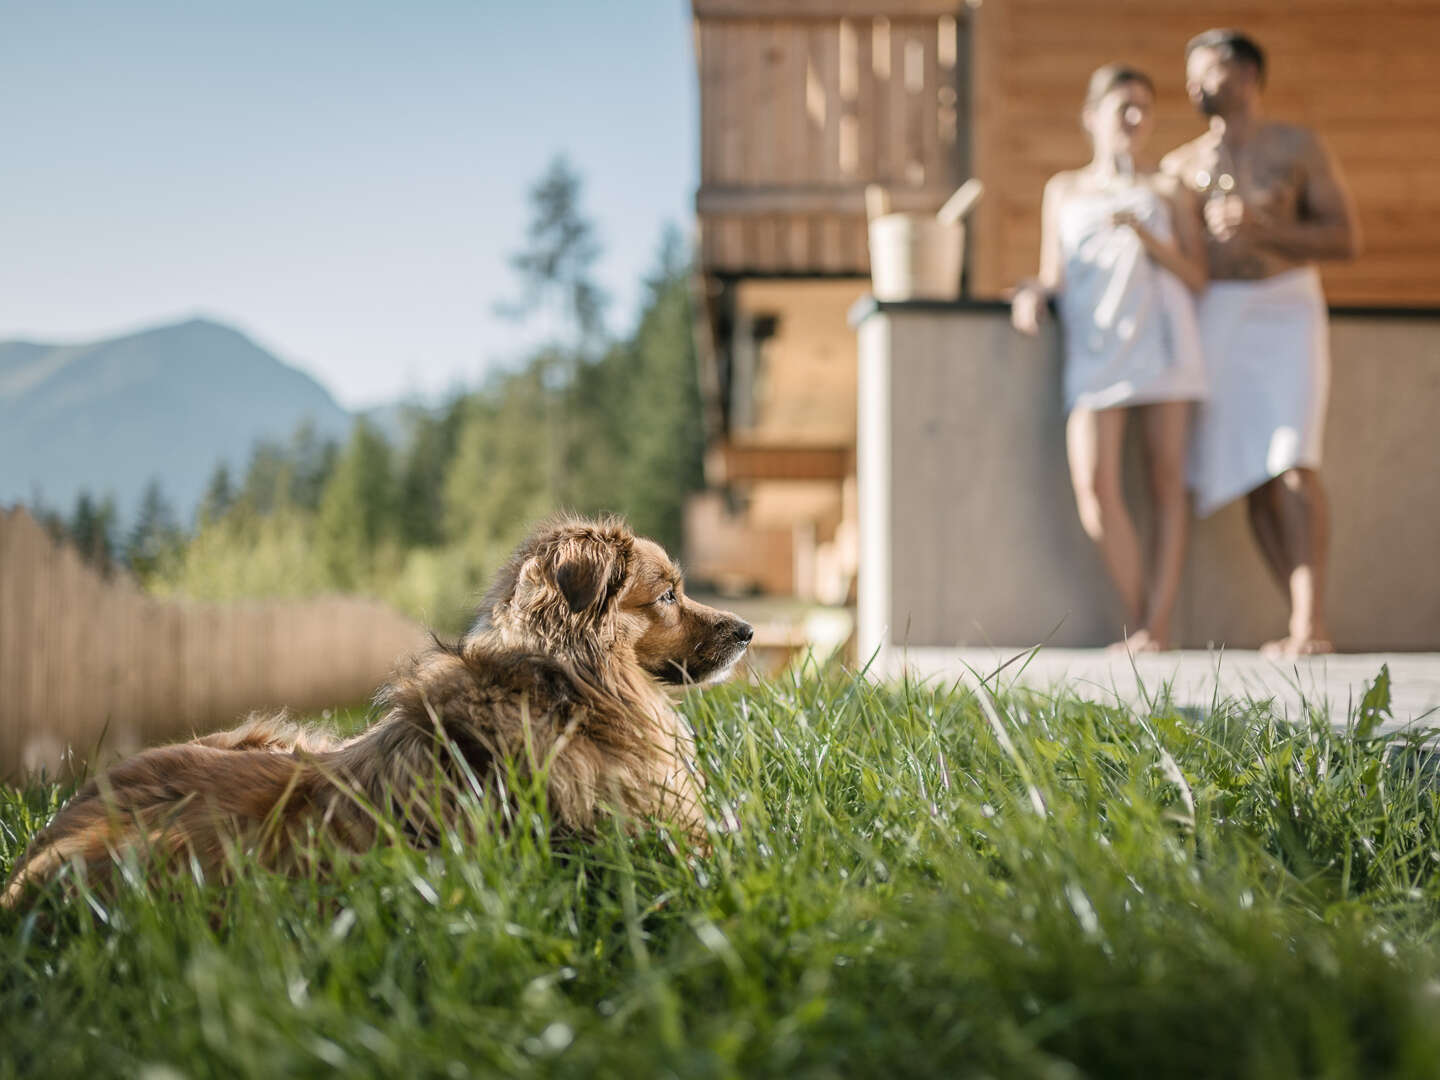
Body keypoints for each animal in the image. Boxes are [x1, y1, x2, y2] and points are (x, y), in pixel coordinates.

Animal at [5, 521, 754, 910]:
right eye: (668, 594)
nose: (748, 631)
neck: (566, 689)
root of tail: (37, 852)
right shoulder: (648, 842)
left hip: (265, 734)